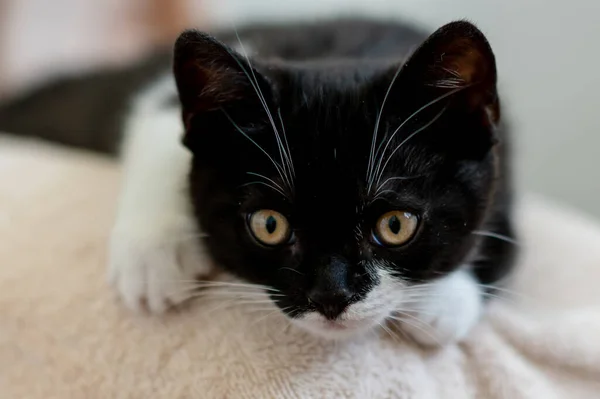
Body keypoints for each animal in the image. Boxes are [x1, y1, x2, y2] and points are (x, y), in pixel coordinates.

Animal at [0, 18, 516, 346]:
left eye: (395, 225)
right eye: (269, 225)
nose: (331, 297)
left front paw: (442, 304)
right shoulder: (167, 95)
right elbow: (157, 114)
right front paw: (153, 254)